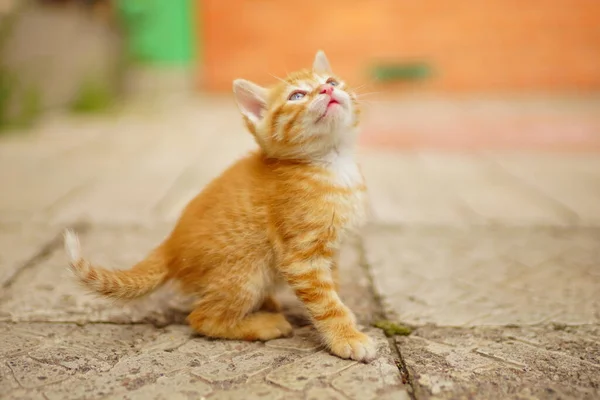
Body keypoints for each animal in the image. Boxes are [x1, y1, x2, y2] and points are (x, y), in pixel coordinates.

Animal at [65, 50, 376, 362]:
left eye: (332, 80)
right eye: (297, 96)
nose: (327, 90)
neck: (334, 164)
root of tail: (169, 246)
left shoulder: (330, 252)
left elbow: (332, 288)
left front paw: (344, 321)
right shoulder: (301, 257)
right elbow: (326, 302)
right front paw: (346, 337)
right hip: (246, 271)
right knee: (202, 318)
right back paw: (264, 323)